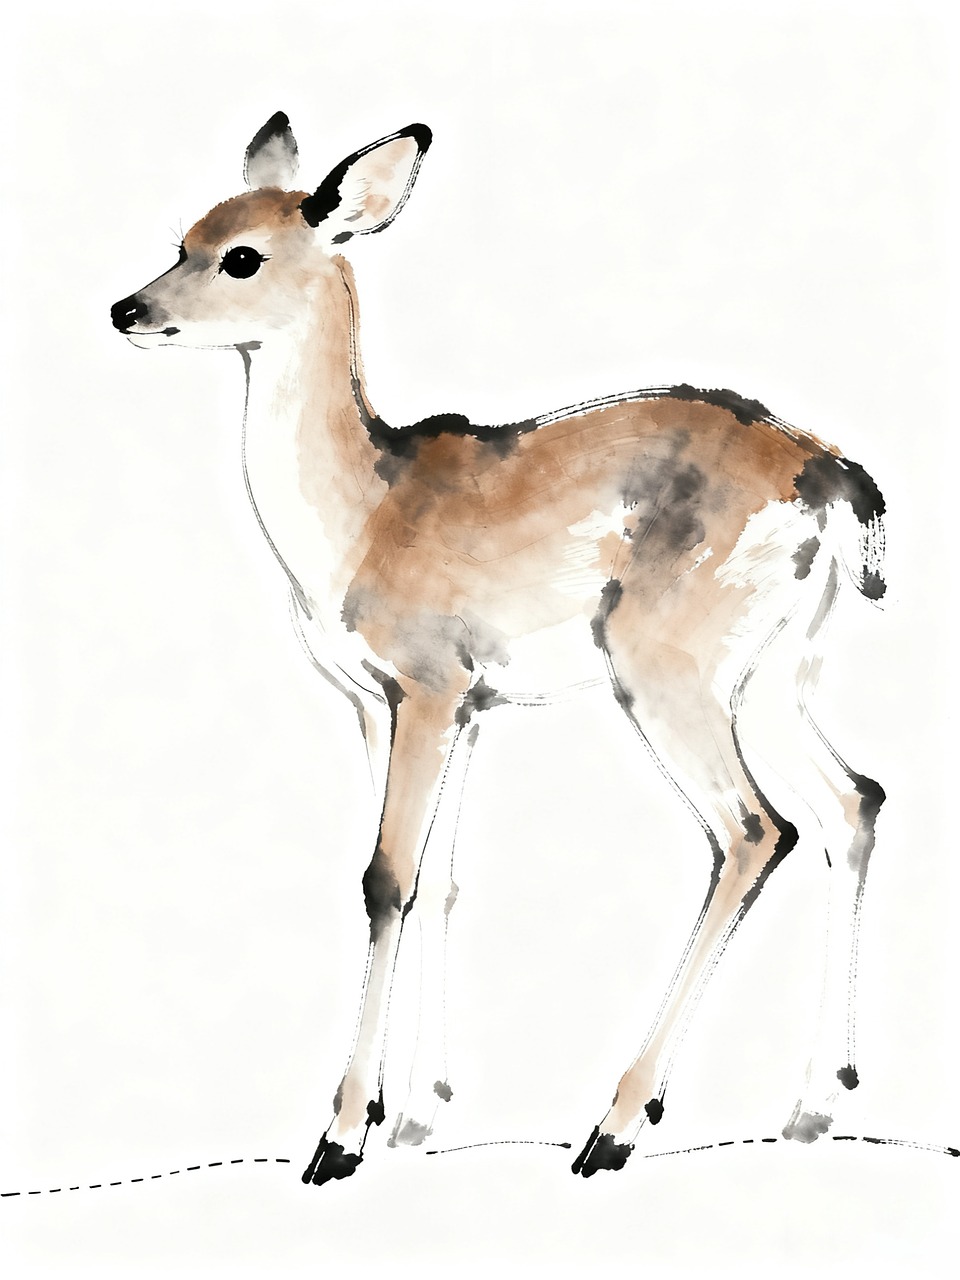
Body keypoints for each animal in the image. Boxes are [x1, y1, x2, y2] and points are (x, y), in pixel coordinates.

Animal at [110, 113, 886, 1186]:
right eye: (183, 235)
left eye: (241, 255)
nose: (127, 309)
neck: (367, 510)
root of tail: (830, 475)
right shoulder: (413, 708)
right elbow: (436, 879)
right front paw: (414, 1117)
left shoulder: (429, 690)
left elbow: (385, 878)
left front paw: (340, 1139)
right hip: (773, 679)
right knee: (854, 800)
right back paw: (811, 1107)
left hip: (669, 680)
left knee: (756, 829)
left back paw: (614, 1128)